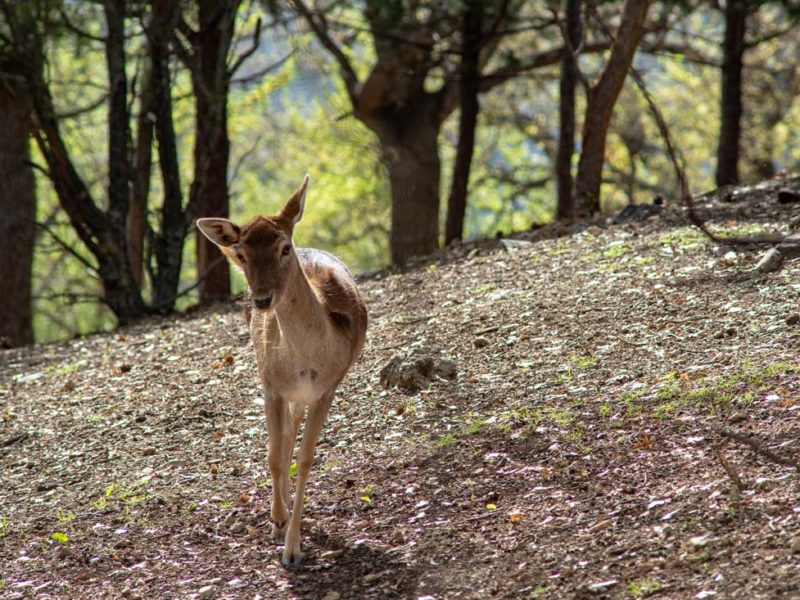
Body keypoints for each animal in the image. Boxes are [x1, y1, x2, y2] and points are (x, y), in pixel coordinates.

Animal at [197, 175, 368, 568]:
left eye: (284, 248)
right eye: (241, 254)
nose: (262, 300)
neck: (306, 363)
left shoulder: (328, 387)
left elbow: (305, 458)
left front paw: (293, 549)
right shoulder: (270, 384)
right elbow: (275, 455)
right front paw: (277, 520)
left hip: (306, 396)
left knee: (293, 430)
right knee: (286, 434)